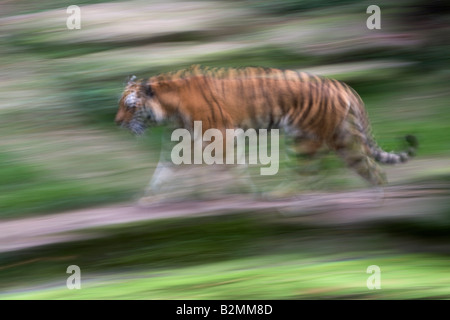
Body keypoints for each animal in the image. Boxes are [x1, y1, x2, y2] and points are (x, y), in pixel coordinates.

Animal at [115, 63, 418, 192]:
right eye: (121, 104)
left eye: (129, 106)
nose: (117, 122)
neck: (169, 111)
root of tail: (341, 84)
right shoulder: (182, 142)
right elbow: (163, 172)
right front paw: (147, 202)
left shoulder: (221, 135)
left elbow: (230, 167)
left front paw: (243, 193)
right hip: (333, 137)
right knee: (358, 171)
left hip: (313, 140)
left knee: (313, 175)